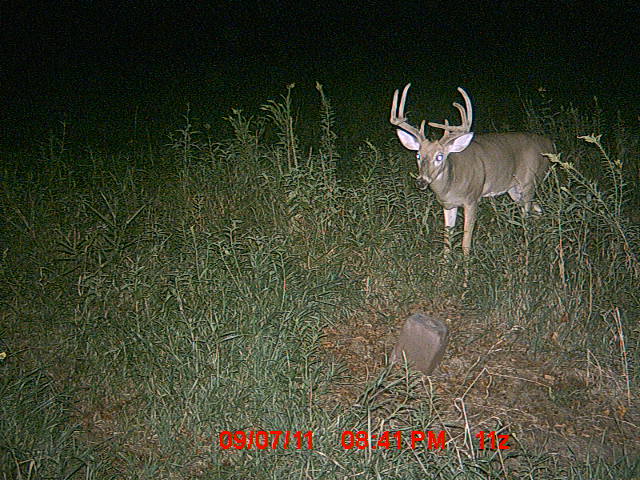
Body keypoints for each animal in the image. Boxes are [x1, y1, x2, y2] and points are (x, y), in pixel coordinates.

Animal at [390, 84, 553, 254]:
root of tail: (549, 144)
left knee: (527, 216)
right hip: (514, 190)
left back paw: (527, 250)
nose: (421, 181)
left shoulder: (472, 199)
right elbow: (447, 240)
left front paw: (466, 261)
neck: (451, 184)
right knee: (537, 209)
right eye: (418, 155)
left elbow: (465, 242)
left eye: (440, 156)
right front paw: (446, 261)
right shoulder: (448, 204)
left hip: (529, 183)